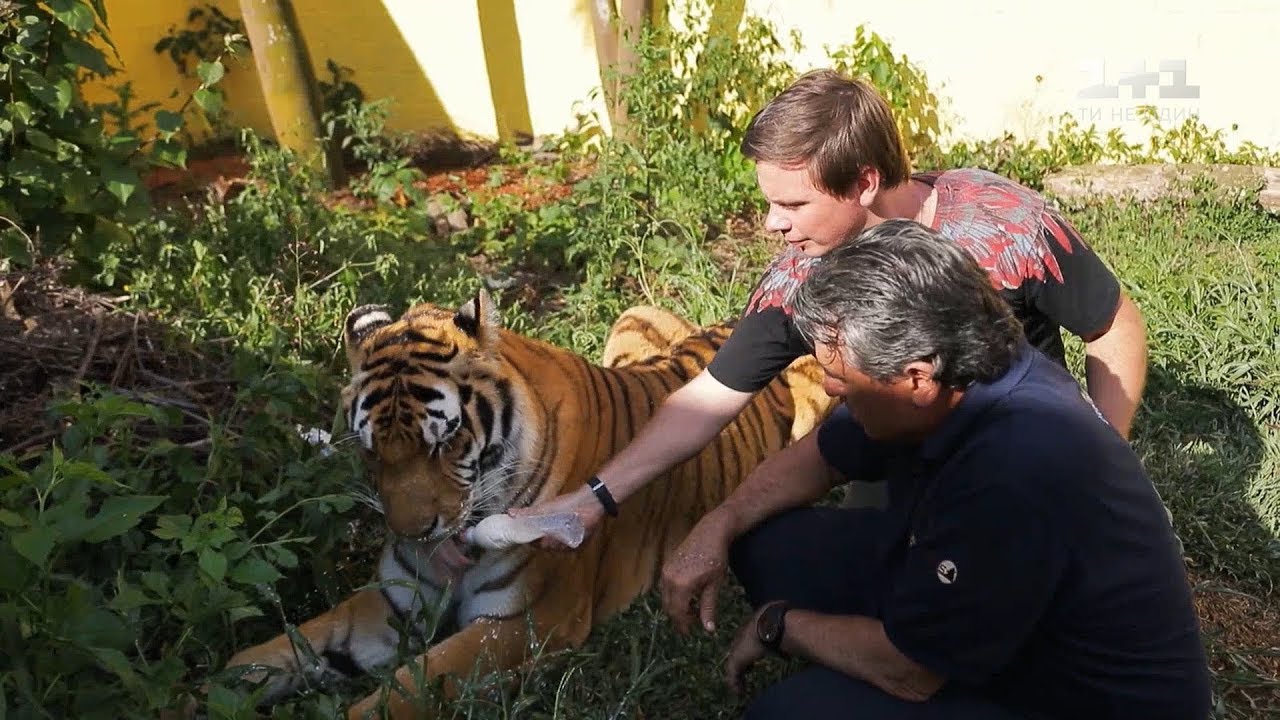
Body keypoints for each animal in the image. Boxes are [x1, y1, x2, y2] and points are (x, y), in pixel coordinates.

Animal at [217, 288, 839, 712]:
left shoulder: (527, 622)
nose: (416, 532)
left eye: (444, 443)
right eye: (372, 452)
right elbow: (266, 655)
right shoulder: (396, 600)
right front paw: (210, 691)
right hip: (633, 317)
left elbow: (403, 691)